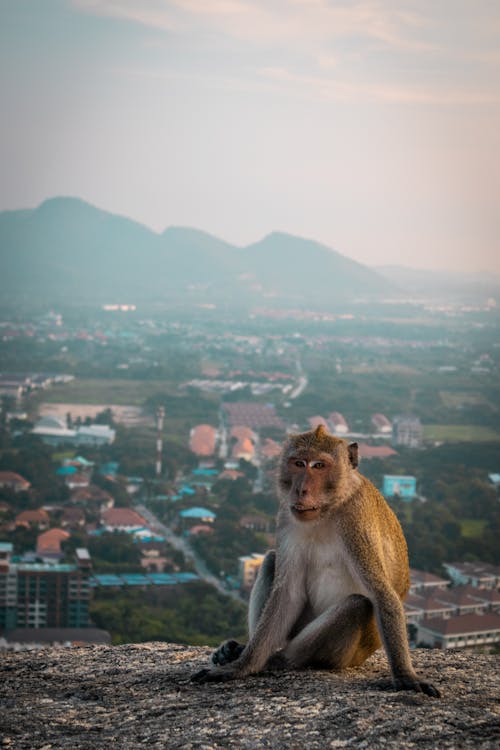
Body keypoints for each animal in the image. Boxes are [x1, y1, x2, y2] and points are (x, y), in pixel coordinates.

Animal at [193, 426, 440, 696]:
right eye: (299, 463)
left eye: (319, 465)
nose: (301, 489)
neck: (328, 510)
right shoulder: (286, 516)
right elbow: (287, 594)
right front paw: (242, 665)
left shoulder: (355, 520)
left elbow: (381, 593)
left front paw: (406, 676)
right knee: (271, 560)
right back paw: (241, 651)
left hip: (349, 655)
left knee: (357, 605)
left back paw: (281, 659)